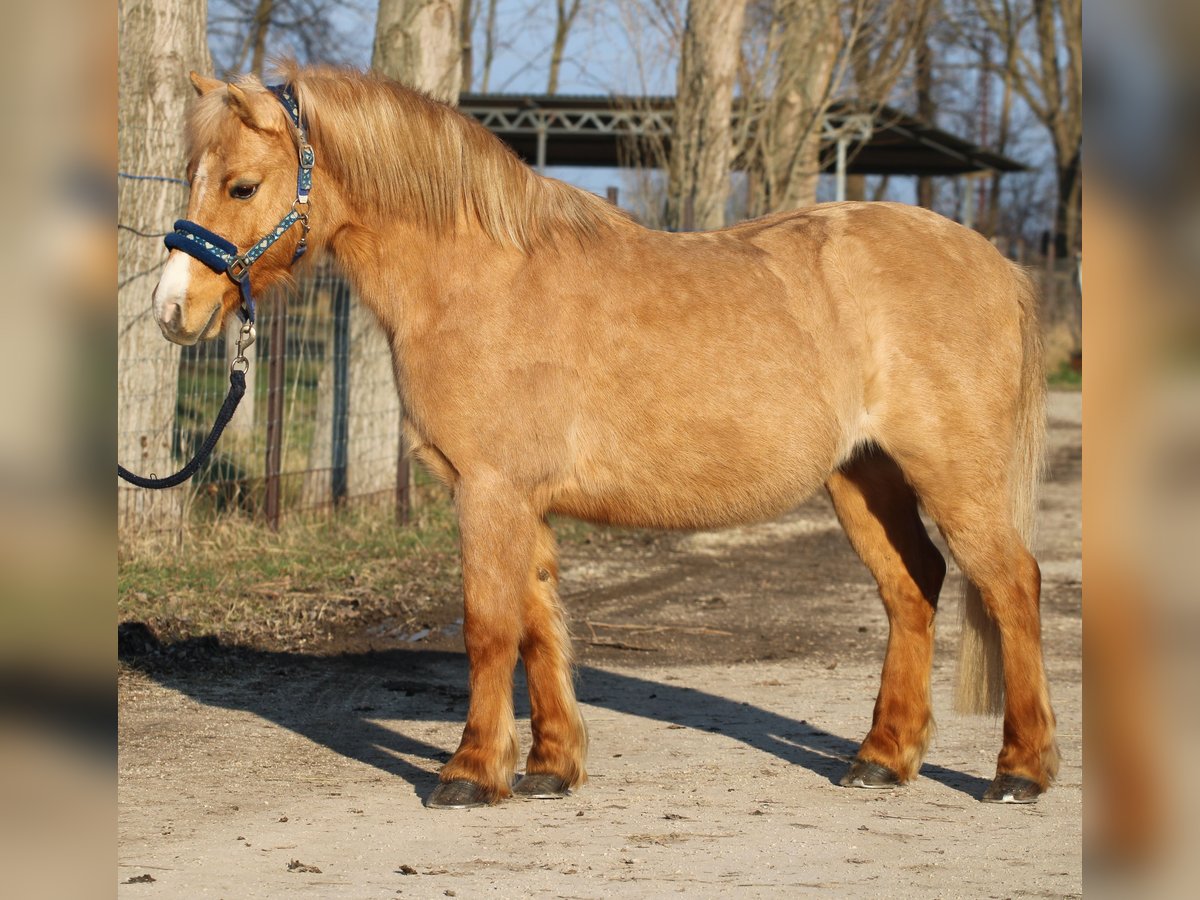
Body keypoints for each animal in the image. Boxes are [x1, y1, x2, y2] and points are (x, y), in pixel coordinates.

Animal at [152, 63, 1060, 811]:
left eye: (242, 185)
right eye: (191, 176)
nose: (172, 311)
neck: (480, 279)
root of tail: (995, 262)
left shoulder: (489, 491)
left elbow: (489, 627)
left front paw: (470, 773)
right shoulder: (515, 500)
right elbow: (537, 622)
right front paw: (550, 768)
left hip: (954, 474)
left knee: (1012, 586)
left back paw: (1020, 770)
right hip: (863, 477)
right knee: (913, 587)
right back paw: (881, 759)